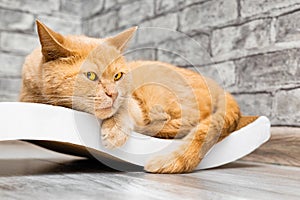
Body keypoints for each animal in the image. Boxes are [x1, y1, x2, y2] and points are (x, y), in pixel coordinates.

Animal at [19, 20, 258, 173]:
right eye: (91, 75)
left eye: (117, 76)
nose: (113, 94)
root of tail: (219, 87)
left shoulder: (133, 104)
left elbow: (125, 112)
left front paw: (115, 129)